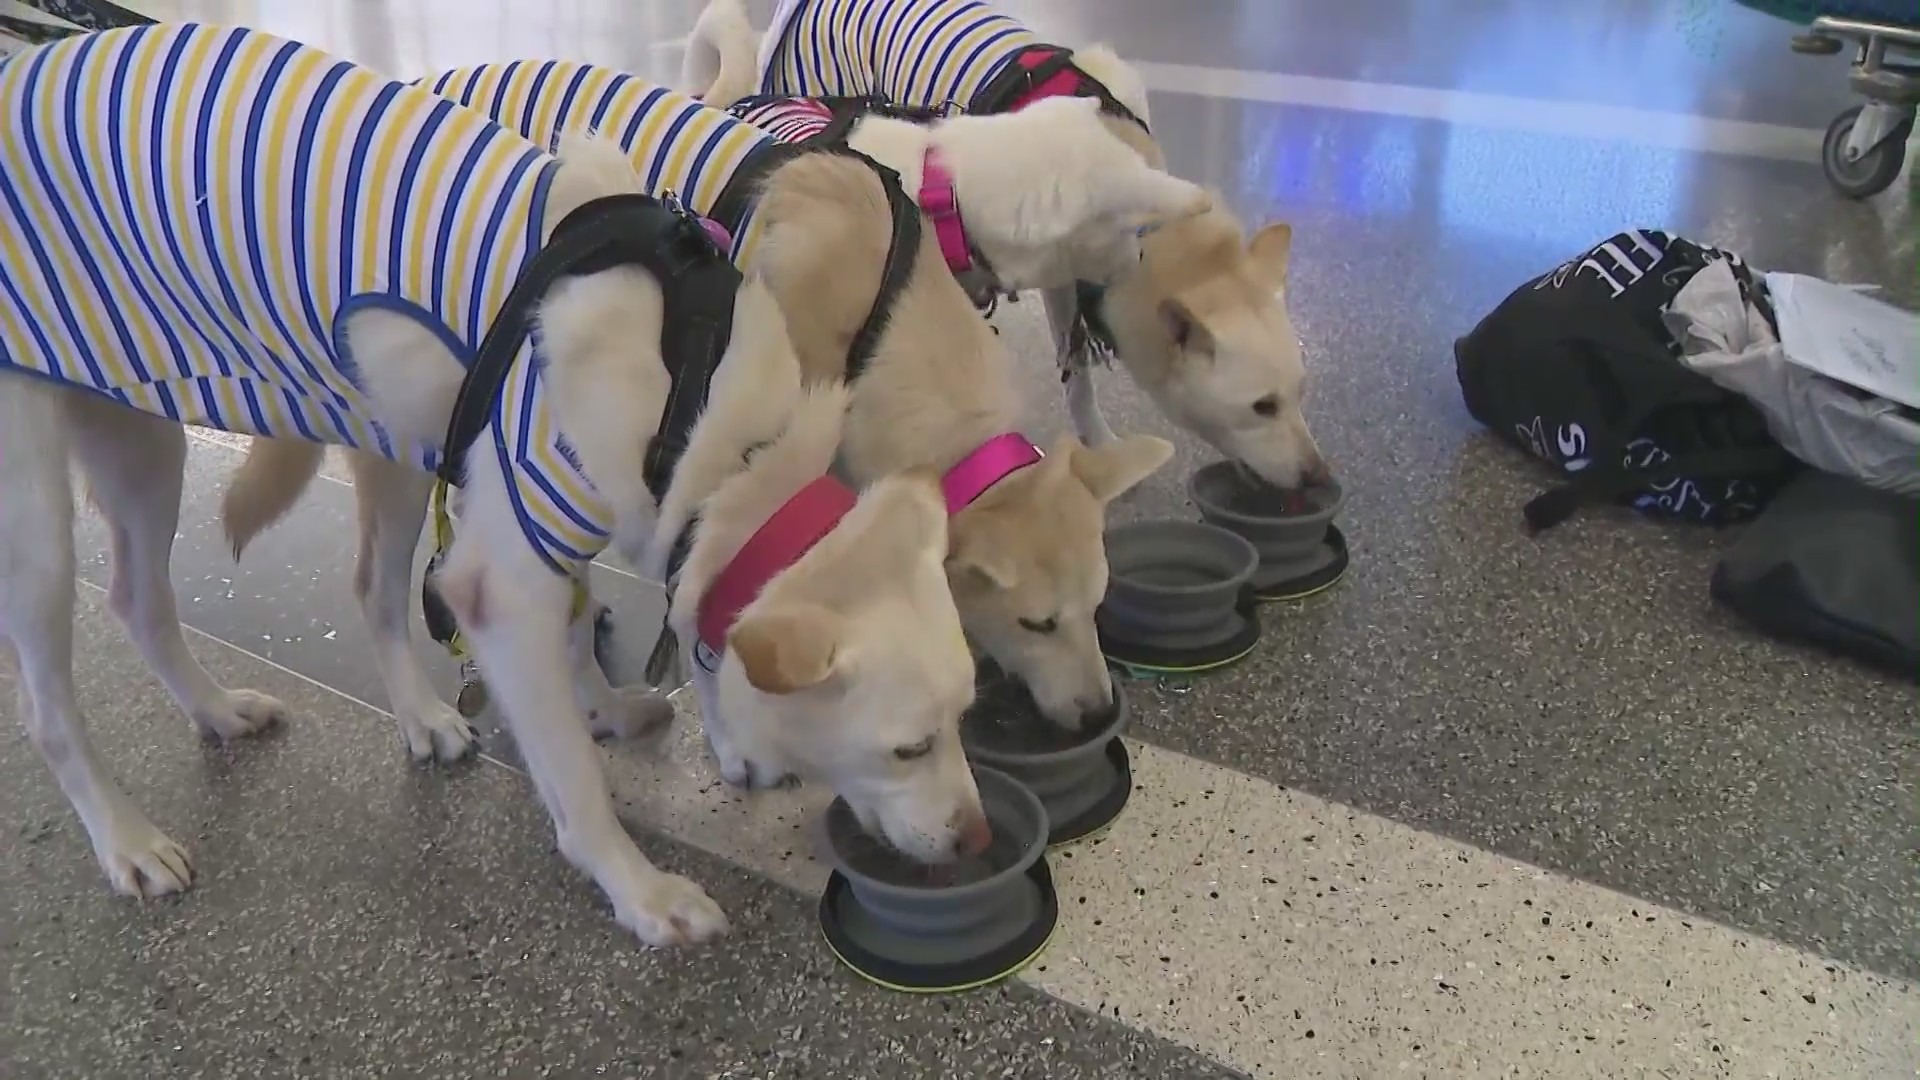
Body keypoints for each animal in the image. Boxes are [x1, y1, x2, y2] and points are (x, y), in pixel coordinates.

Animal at [3, 27, 990, 941]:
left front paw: (643, 715)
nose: (976, 840)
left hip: (183, 441)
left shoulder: (566, 522)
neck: (713, 412)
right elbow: (575, 775)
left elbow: (610, 626)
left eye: (966, 718)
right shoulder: (507, 579)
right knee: (52, 707)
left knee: (171, 598)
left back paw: (244, 711)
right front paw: (638, 889)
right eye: (908, 748)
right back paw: (127, 841)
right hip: (43, 530)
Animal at [691, 0, 1336, 488]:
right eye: (1263, 406)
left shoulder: (1062, 280)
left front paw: (1099, 445)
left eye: (1301, 393)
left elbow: (1076, 373)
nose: (1319, 479)